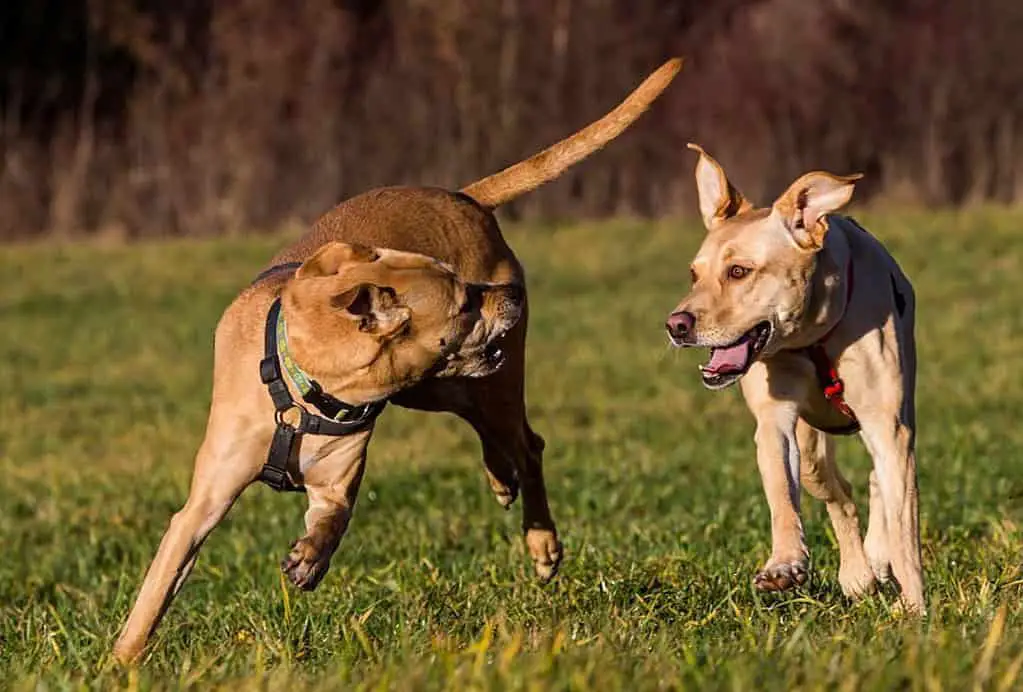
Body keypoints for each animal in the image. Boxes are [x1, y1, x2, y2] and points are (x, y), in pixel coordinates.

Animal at [114, 56, 679, 663]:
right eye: (462, 301)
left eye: (465, 286)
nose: (513, 294)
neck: (305, 386)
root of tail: (463, 195)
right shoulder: (203, 503)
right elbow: (160, 582)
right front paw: (121, 660)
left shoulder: (337, 481)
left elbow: (333, 518)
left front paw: (308, 559)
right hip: (437, 386)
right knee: (501, 435)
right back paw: (501, 480)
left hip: (479, 381)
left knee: (527, 442)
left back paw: (541, 542)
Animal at [666, 144, 924, 610]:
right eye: (695, 274)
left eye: (739, 271)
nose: (676, 325)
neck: (812, 335)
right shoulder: (776, 420)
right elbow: (782, 496)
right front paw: (784, 565)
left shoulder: (889, 425)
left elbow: (905, 529)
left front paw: (914, 607)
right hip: (813, 454)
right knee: (840, 494)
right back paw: (858, 574)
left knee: (879, 483)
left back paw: (877, 559)